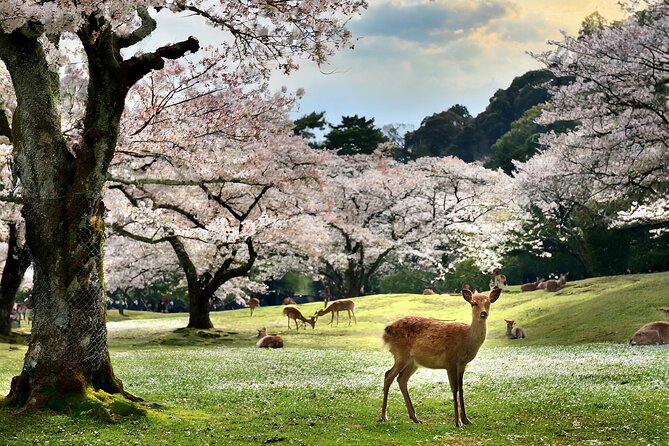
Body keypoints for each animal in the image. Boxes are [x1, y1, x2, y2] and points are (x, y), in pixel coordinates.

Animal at [380, 288, 500, 426]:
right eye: (473, 303)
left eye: (488, 303)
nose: (483, 314)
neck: (467, 340)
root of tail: (387, 331)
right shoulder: (450, 361)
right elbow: (454, 388)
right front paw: (457, 422)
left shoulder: (462, 364)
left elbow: (461, 387)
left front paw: (466, 419)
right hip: (401, 354)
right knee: (389, 375)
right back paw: (384, 416)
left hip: (412, 362)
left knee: (401, 379)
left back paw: (415, 418)